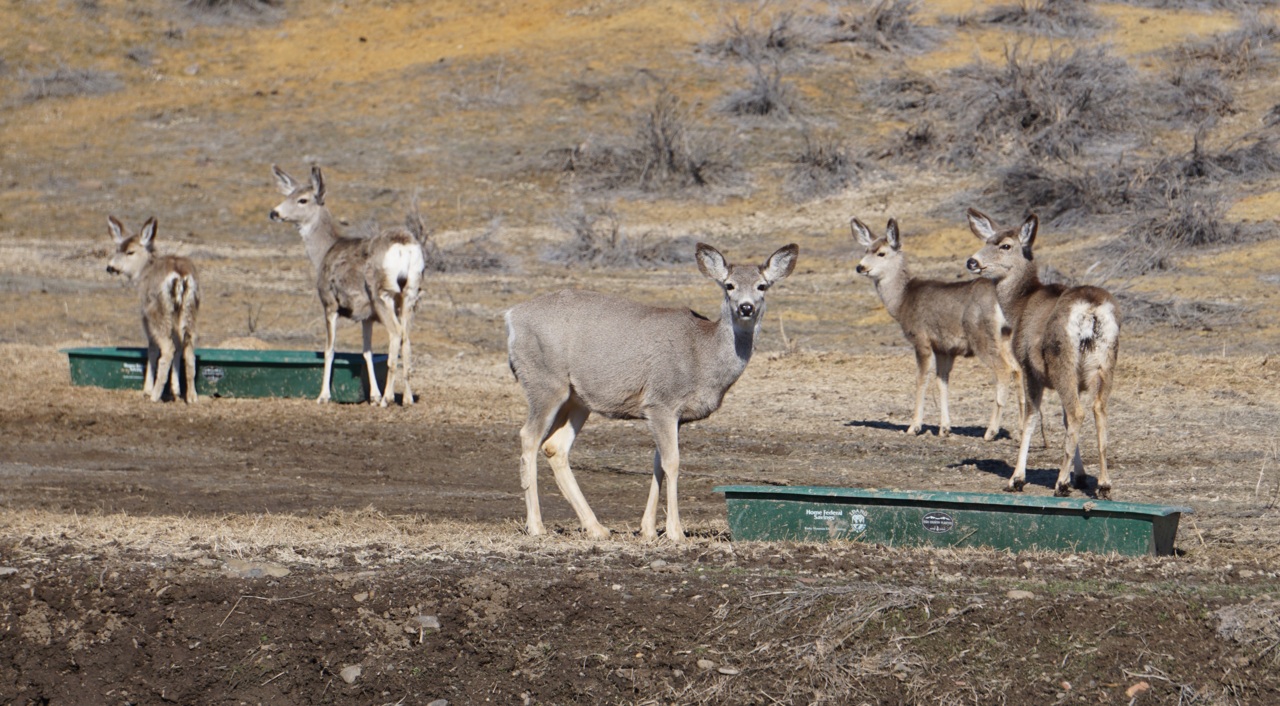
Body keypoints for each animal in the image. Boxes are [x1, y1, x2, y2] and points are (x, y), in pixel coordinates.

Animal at [105, 216, 200, 403]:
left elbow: (152, 349)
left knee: (167, 348)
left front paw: (147, 389)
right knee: (188, 350)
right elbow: (178, 346)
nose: (110, 267)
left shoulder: (145, 316)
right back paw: (192, 397)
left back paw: (155, 395)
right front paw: (175, 390)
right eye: (117, 249)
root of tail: (180, 276)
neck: (143, 272)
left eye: (130, 252)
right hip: (189, 309)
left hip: (158, 311)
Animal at [269, 165, 426, 406]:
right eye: (288, 195)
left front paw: (323, 395)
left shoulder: (329, 303)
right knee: (406, 338)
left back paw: (388, 398)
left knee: (396, 334)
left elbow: (329, 350)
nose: (274, 213)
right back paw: (407, 398)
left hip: (383, 293)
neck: (325, 251)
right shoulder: (366, 316)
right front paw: (373, 395)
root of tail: (404, 246)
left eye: (302, 200)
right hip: (410, 293)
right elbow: (367, 352)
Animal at [505, 242, 799, 542]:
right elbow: (672, 462)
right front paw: (675, 532)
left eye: (762, 286)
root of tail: (512, 317)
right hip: (544, 381)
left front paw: (648, 529)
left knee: (555, 446)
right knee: (529, 437)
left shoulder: (674, 415)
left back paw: (597, 528)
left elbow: (658, 463)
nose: (746, 307)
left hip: (577, 398)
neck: (701, 354)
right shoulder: (661, 402)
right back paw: (536, 526)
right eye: (729, 285)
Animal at [852, 217, 1019, 441]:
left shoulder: (921, 339)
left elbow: (921, 380)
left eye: (881, 253)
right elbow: (942, 382)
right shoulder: (944, 348)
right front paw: (944, 428)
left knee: (1004, 370)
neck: (902, 301)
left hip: (983, 336)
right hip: (1006, 338)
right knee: (1018, 370)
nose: (860, 267)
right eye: (865, 250)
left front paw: (914, 426)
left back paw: (991, 431)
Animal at [966, 208, 1121, 498]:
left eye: (1005, 245)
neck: (1020, 305)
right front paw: (1079, 476)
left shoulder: (1029, 368)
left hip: (1062, 359)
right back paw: (1103, 485)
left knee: (1077, 413)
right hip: (1105, 362)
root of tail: (1091, 310)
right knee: (1098, 409)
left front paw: (1017, 478)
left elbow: (1031, 416)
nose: (972, 261)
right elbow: (1063, 419)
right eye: (987, 240)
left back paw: (1060, 484)